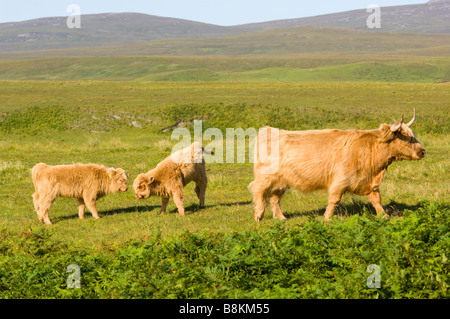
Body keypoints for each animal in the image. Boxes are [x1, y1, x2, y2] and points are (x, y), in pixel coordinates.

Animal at [250, 110, 426, 222]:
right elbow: (334, 200)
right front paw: (327, 217)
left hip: (281, 181)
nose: (423, 151)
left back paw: (281, 217)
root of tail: (268, 130)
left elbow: (377, 200)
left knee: (274, 198)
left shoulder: (369, 183)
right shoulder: (340, 180)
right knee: (258, 190)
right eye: (409, 137)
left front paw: (384, 215)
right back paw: (258, 214)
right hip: (266, 177)